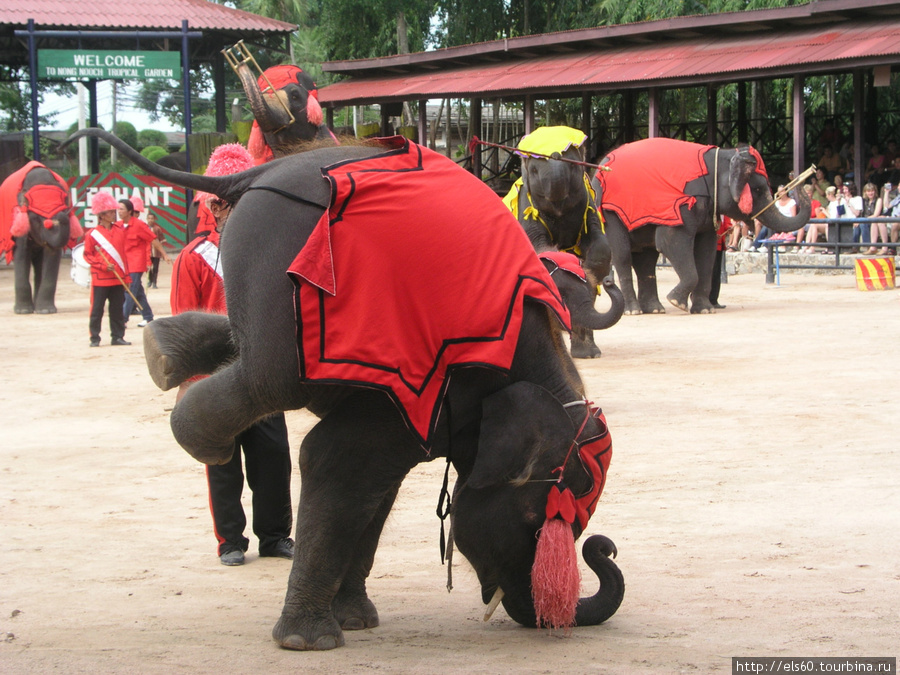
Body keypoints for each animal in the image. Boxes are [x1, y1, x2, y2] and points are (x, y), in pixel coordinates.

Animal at [0, 161, 82, 314]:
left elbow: (52, 254)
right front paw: (22, 311)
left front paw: (45, 311)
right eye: (37, 219)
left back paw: (38, 307)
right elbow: (21, 253)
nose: (62, 216)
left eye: (66, 210)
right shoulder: (19, 218)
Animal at [502, 127, 624, 360]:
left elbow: (599, 243)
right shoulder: (526, 206)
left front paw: (593, 271)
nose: (609, 281)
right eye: (534, 170)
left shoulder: (589, 205)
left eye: (574, 165)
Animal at [596, 139, 812, 316]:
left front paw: (704, 310)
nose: (801, 173)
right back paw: (633, 311)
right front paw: (677, 303)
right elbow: (670, 243)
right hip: (609, 212)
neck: (721, 156)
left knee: (646, 259)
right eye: (758, 190)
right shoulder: (684, 204)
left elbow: (706, 251)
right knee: (623, 254)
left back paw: (655, 309)